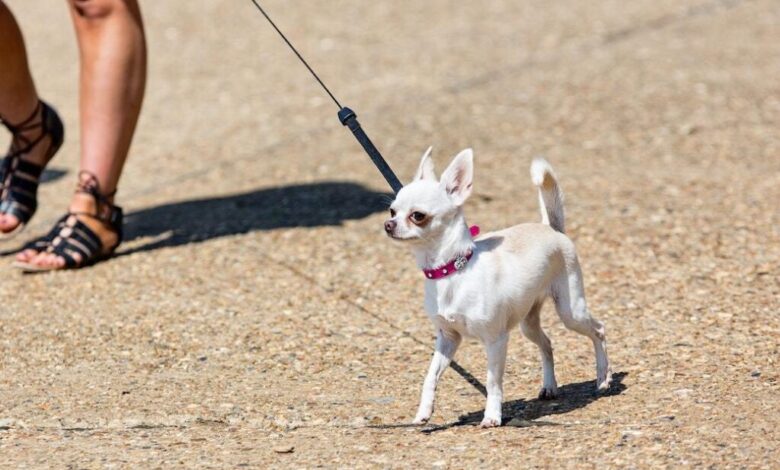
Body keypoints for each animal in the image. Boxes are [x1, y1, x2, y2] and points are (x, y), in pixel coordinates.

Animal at [386, 148, 612, 426]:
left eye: (417, 216)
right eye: (392, 211)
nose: (388, 225)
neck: (452, 270)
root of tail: (551, 228)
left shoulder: (495, 340)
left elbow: (493, 382)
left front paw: (492, 416)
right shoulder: (447, 339)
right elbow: (430, 376)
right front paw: (423, 412)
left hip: (571, 312)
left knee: (599, 330)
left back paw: (603, 378)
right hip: (528, 324)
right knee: (547, 344)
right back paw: (550, 386)